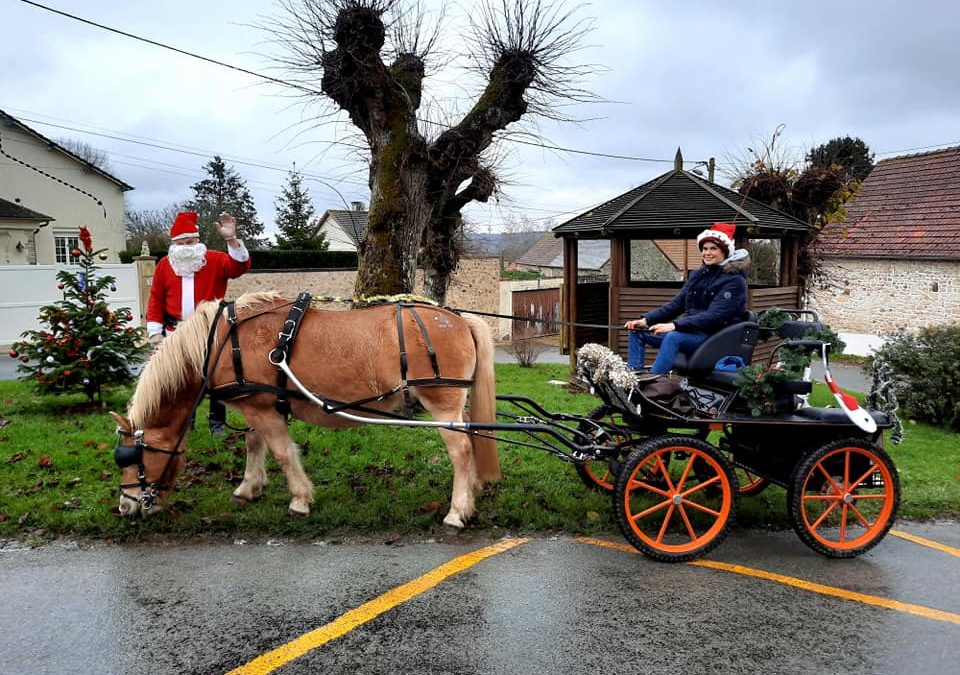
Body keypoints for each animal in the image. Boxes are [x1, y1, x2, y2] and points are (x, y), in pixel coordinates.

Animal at [110, 294, 502, 532]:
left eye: (133, 457)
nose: (126, 507)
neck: (221, 341)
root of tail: (457, 318)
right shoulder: (258, 405)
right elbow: (254, 445)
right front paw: (248, 487)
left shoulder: (262, 409)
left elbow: (283, 453)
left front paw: (299, 499)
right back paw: (473, 492)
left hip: (442, 402)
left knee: (461, 450)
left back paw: (457, 510)